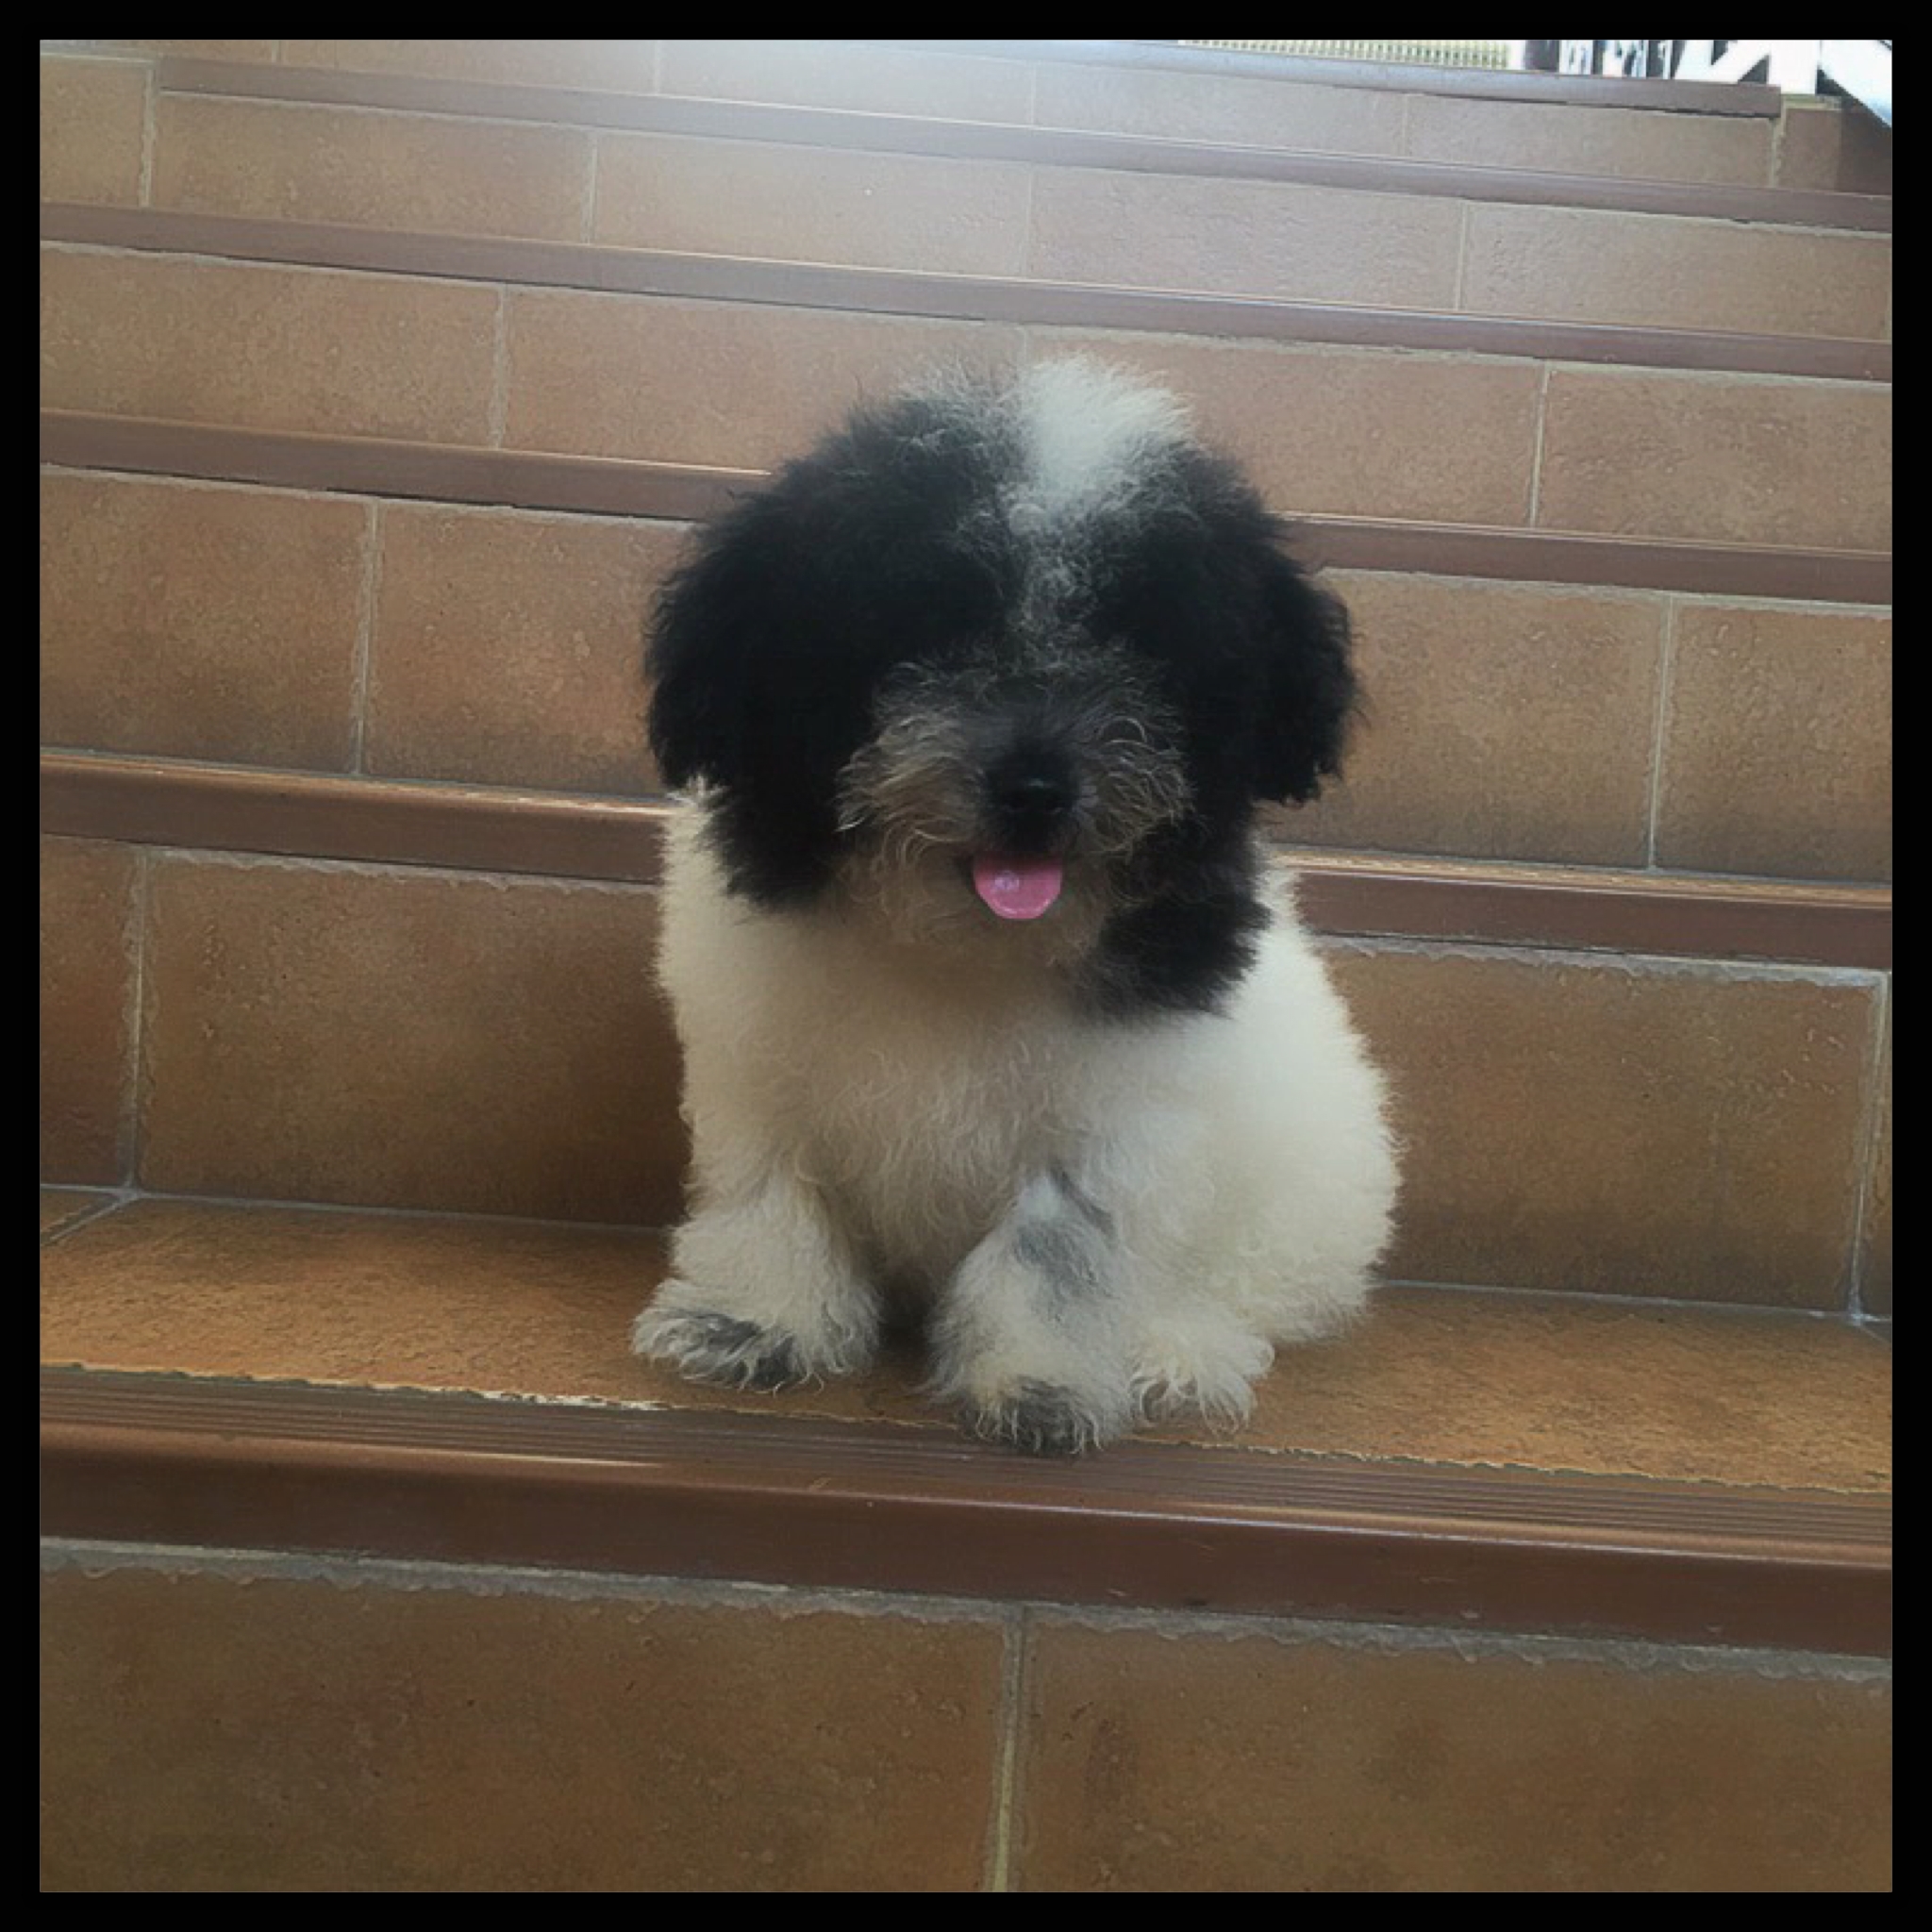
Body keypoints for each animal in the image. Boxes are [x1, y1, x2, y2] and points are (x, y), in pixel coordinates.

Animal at [631, 361, 1397, 1454]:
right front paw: (756, 1320)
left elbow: (1053, 1247)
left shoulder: (1115, 1120)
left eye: (1141, 647)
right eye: (922, 624)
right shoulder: (755, 1068)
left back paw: (1176, 1348)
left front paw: (1039, 1381)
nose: (1034, 787)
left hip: (1308, 1197)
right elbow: (772, 1194)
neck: (958, 940)